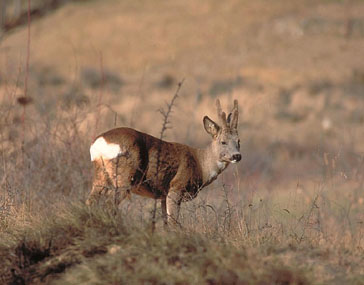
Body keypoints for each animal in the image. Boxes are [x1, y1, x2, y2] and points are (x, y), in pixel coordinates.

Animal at [87, 99, 242, 224]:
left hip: (100, 177)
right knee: (108, 204)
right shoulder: (176, 187)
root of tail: (99, 142)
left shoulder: (162, 195)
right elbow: (173, 223)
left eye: (239, 141)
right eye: (223, 142)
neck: (201, 164)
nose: (237, 156)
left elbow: (165, 223)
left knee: (90, 201)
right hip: (124, 176)